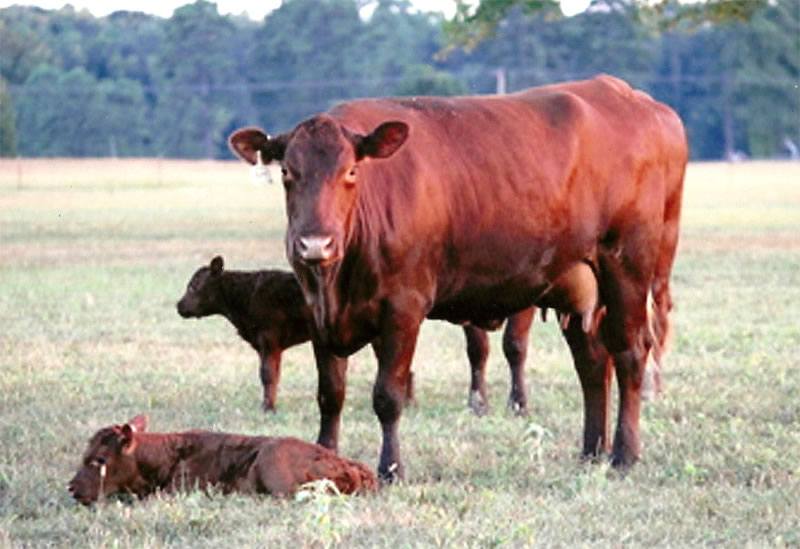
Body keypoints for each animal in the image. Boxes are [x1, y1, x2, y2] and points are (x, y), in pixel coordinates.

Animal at [228, 75, 684, 478]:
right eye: (287, 173)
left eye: (351, 172)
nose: (314, 244)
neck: (337, 279)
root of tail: (629, 97)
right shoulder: (319, 313)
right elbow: (330, 395)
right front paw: (324, 458)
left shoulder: (403, 307)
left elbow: (388, 396)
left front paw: (391, 469)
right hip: (577, 286)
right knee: (592, 363)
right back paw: (592, 451)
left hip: (628, 266)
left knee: (629, 353)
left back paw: (624, 454)